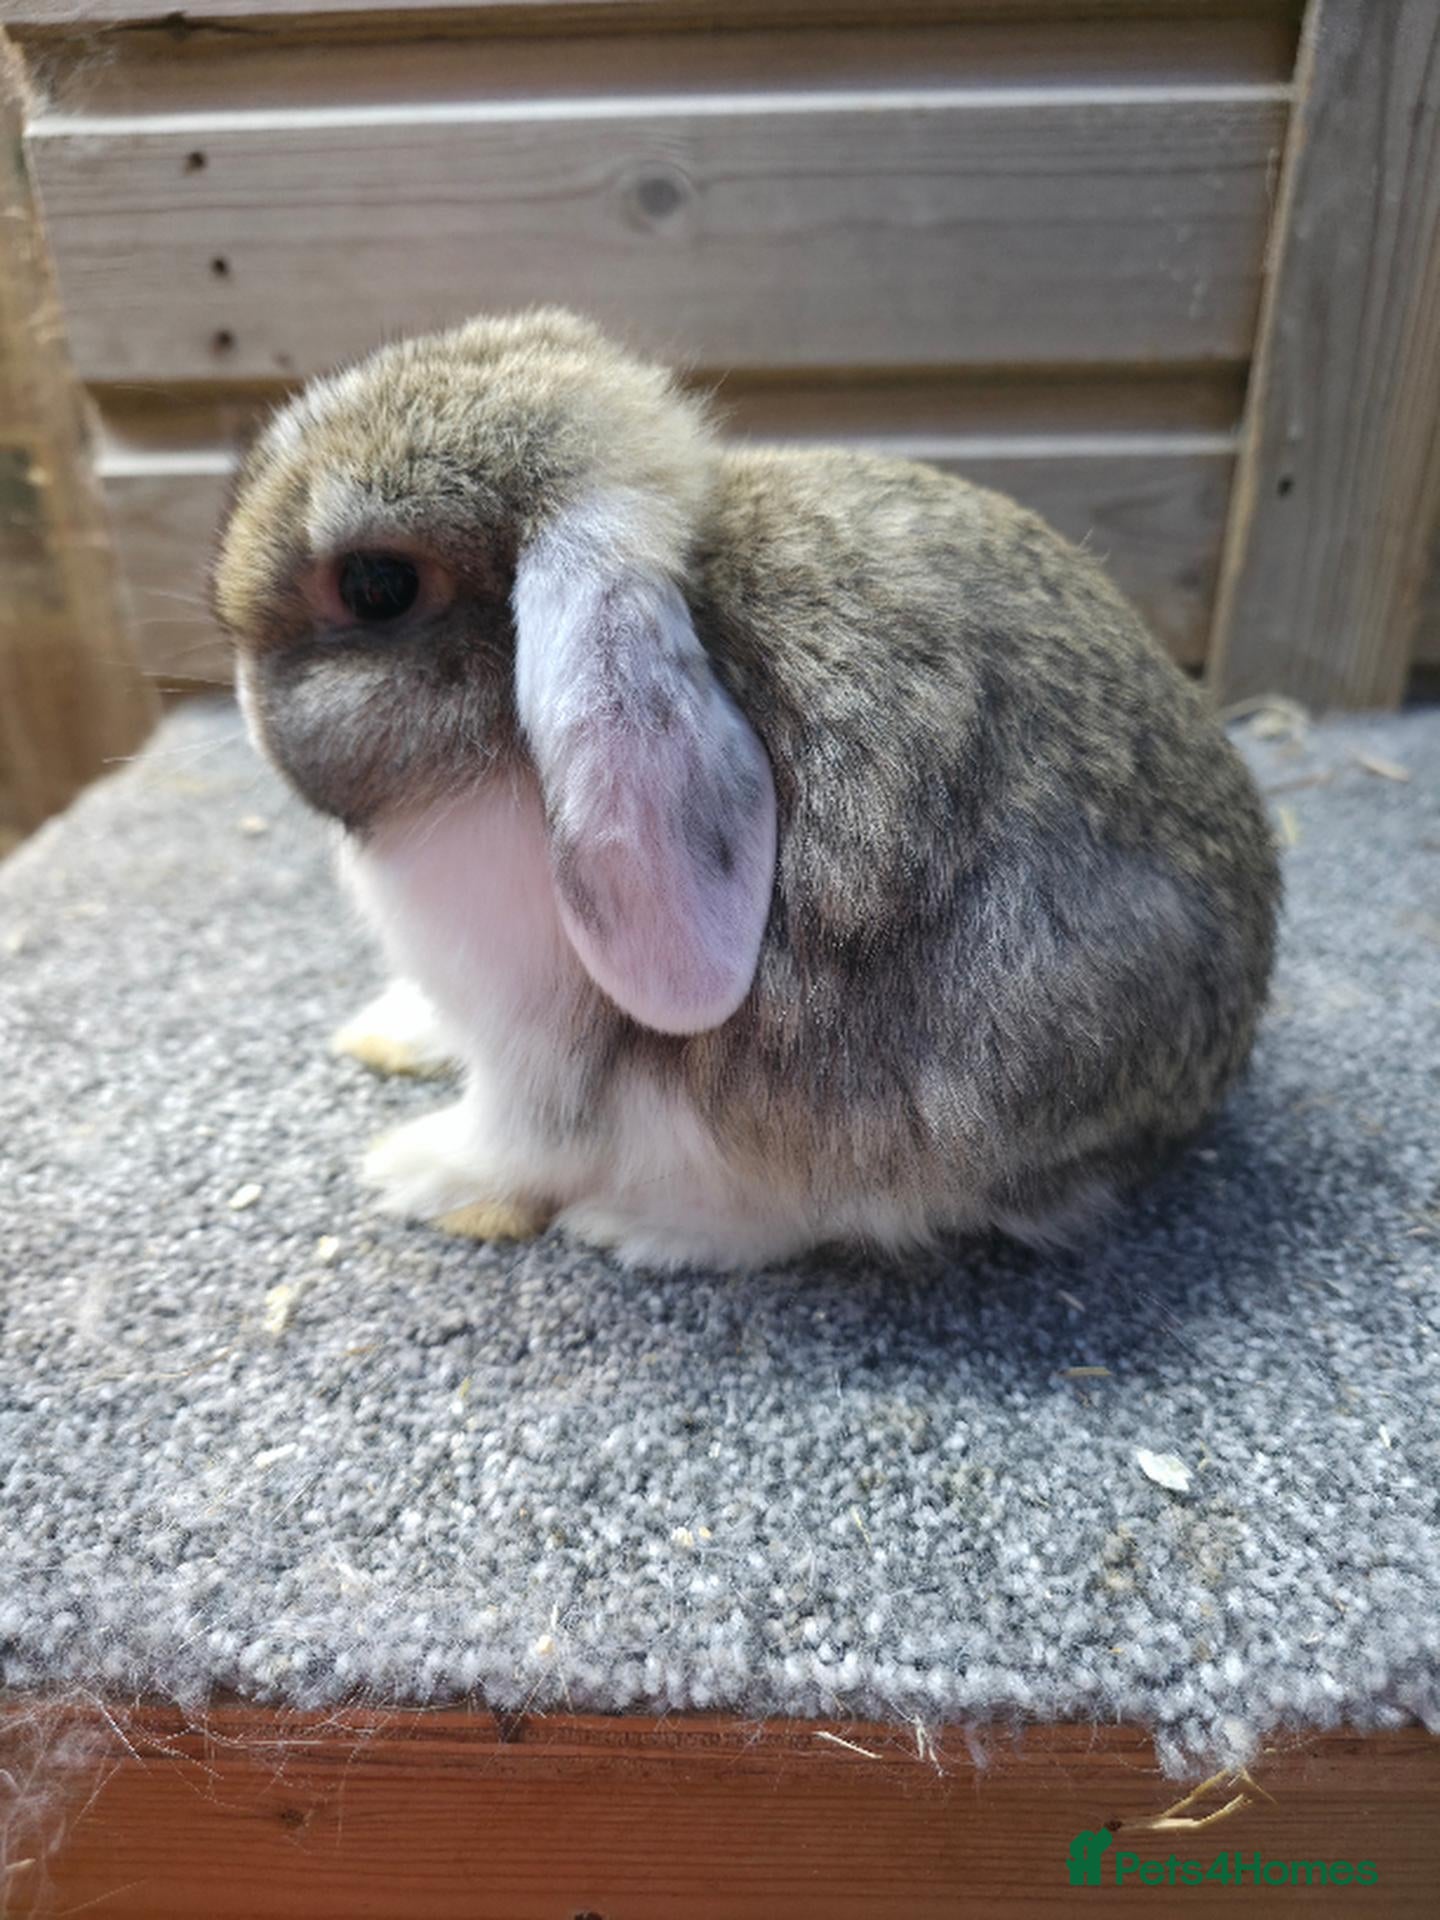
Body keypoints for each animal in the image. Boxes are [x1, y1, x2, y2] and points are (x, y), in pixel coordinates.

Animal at [214, 309, 1279, 1271]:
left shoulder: (537, 1050)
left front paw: (414, 1170)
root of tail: (1195, 1095)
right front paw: (390, 1034)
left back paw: (644, 1228)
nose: (240, 692)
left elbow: (517, 1137)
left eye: (378, 587)